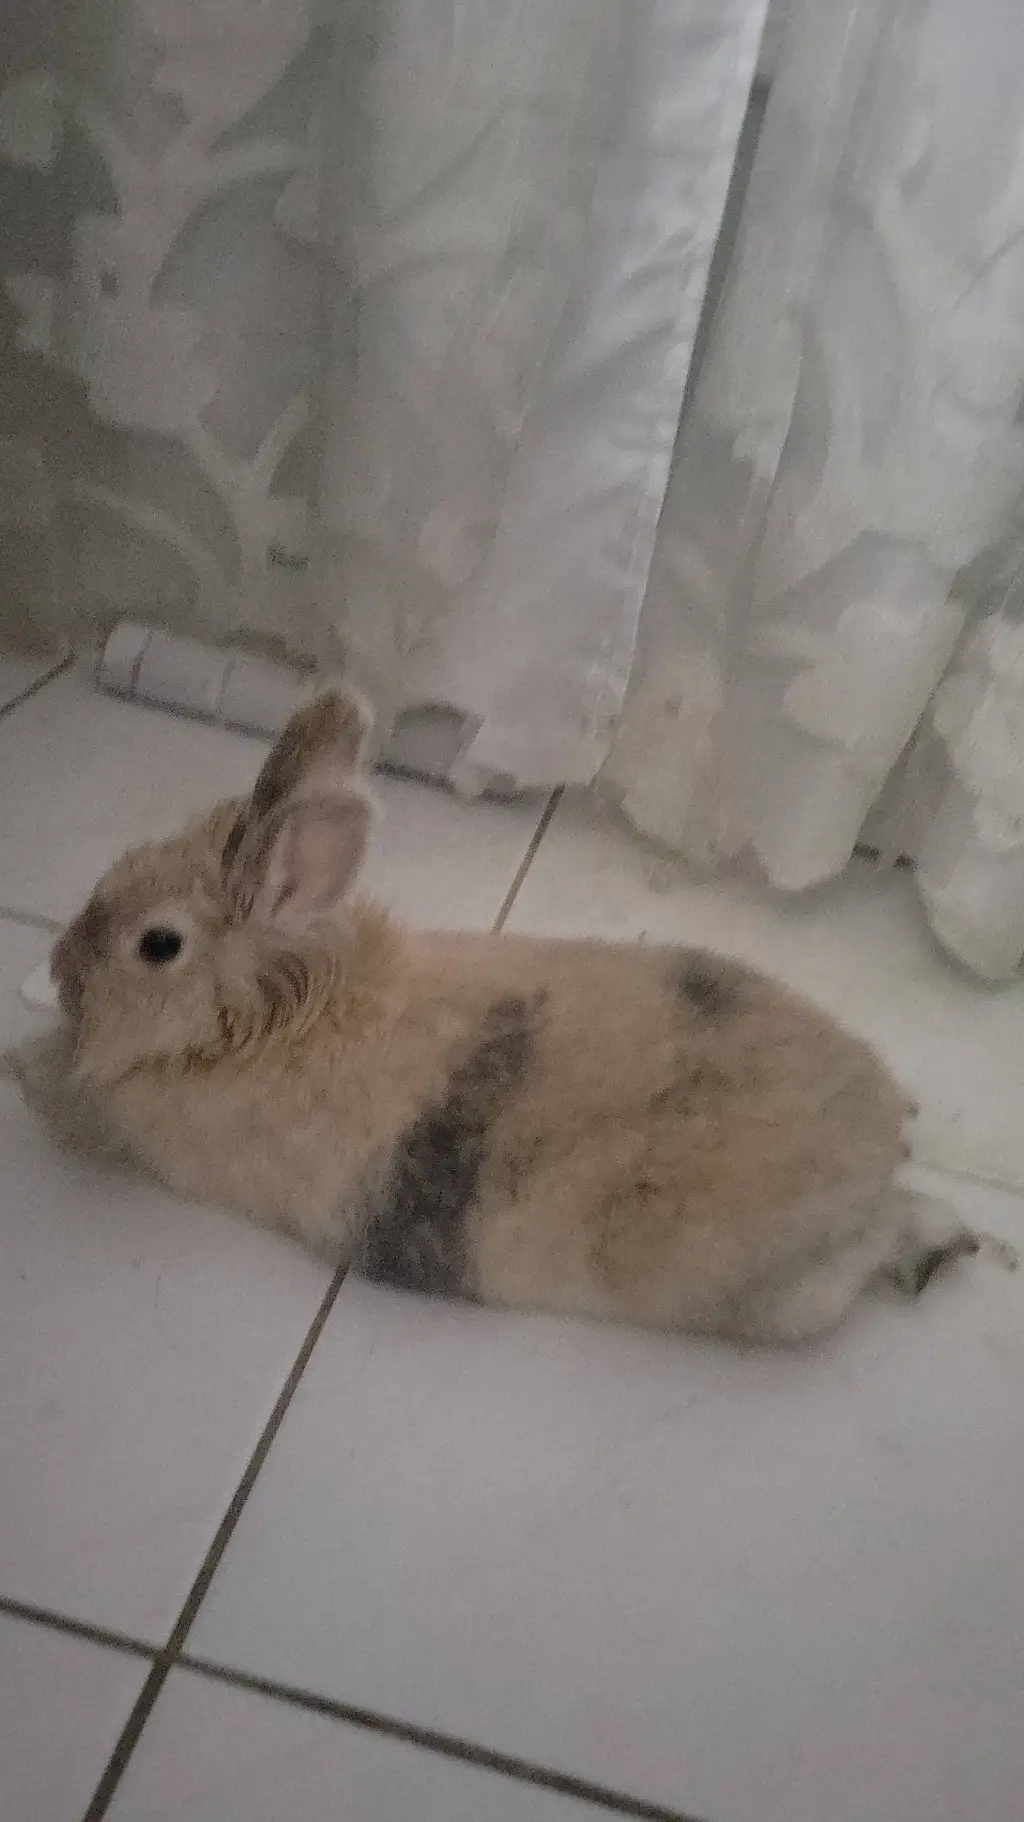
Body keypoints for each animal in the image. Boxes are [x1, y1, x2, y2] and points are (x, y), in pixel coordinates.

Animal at [9, 690, 1012, 1344]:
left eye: (157, 944)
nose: (60, 965)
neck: (273, 1019)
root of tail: (876, 1148)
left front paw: (21, 1056)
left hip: (766, 1290)